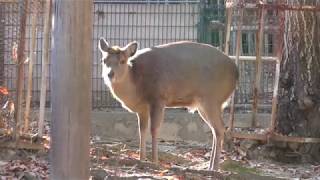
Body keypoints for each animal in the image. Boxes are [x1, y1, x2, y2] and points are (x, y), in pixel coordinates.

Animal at [97, 38, 238, 171]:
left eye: (122, 61)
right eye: (104, 60)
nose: (110, 74)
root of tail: (236, 71)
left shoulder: (158, 98)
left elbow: (154, 129)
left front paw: (154, 161)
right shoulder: (142, 108)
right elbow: (141, 130)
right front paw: (141, 159)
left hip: (212, 98)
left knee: (220, 128)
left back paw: (215, 167)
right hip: (204, 105)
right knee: (216, 129)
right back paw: (210, 166)